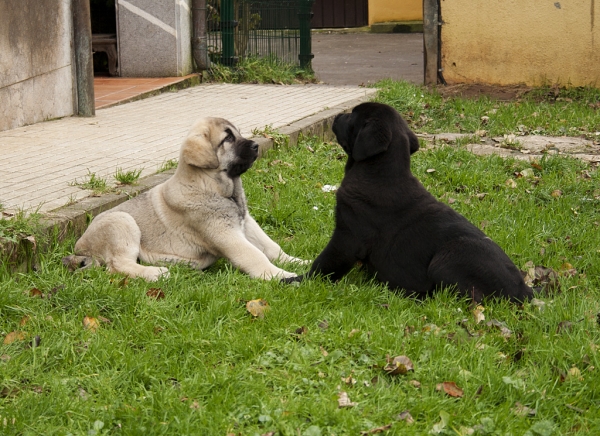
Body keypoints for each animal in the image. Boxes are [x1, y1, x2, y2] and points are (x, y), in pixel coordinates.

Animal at [290, 101, 528, 304]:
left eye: (353, 116)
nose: (338, 115)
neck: (380, 173)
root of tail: (525, 292)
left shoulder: (347, 237)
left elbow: (323, 264)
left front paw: (295, 281)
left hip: (448, 258)